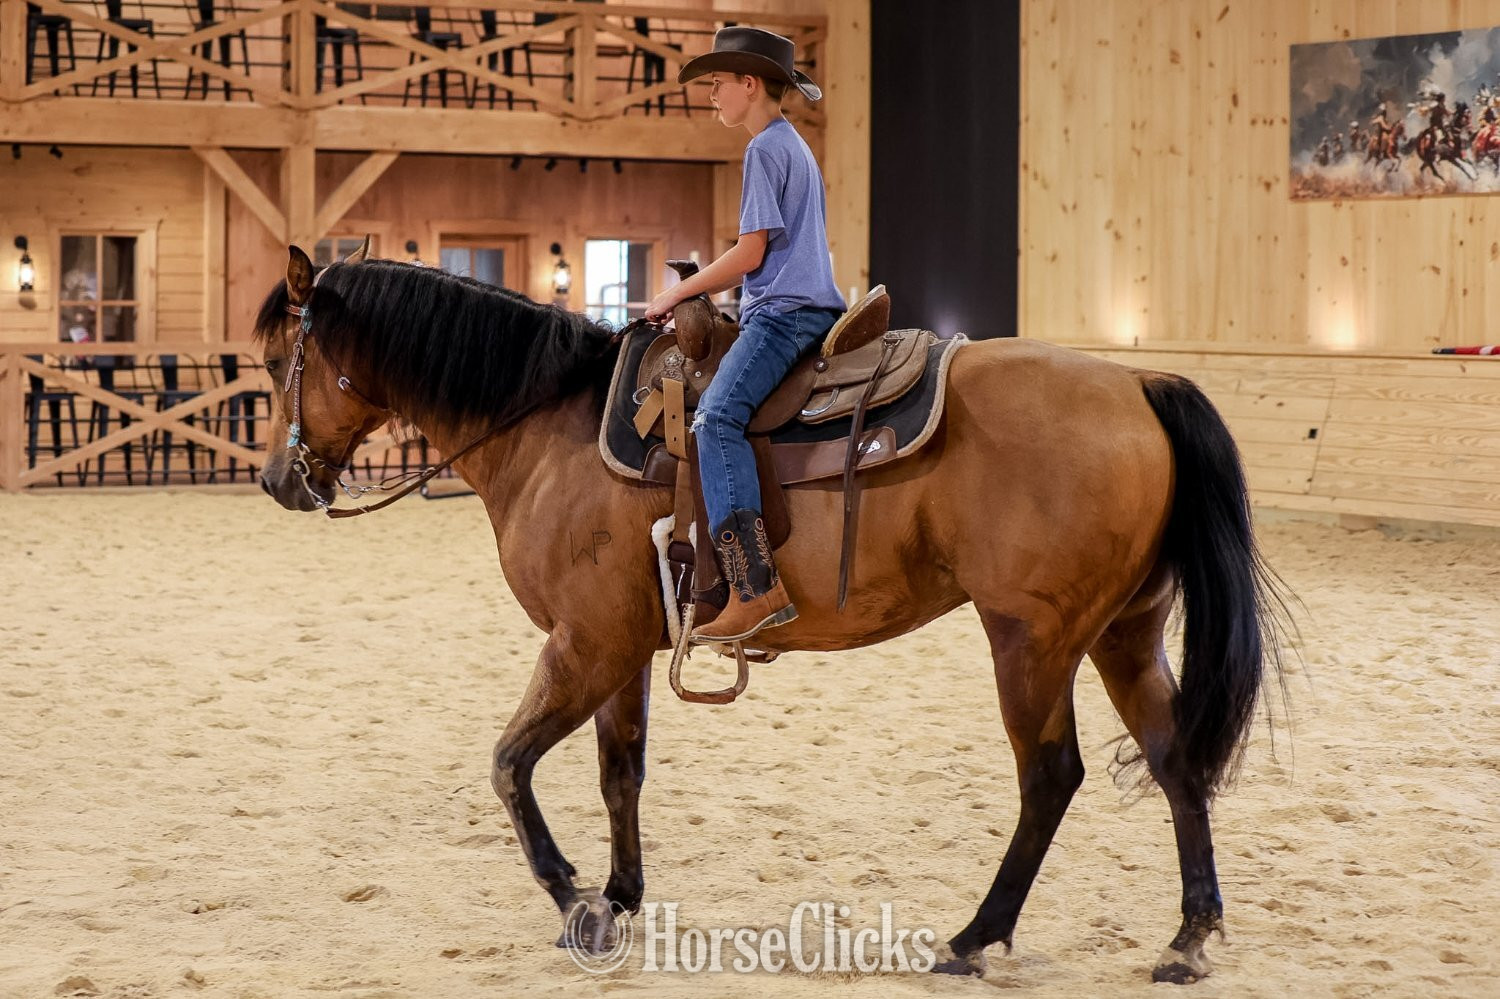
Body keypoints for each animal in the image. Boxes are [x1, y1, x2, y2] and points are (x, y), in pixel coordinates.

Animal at [253, 245, 1287, 984]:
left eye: (272, 361)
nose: (275, 481)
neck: (550, 427)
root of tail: (1138, 385)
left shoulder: (583, 643)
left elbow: (510, 765)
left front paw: (572, 898)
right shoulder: (622, 647)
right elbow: (619, 772)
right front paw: (619, 897)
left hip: (1030, 639)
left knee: (1050, 776)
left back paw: (973, 936)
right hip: (1124, 633)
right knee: (1175, 759)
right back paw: (1188, 937)